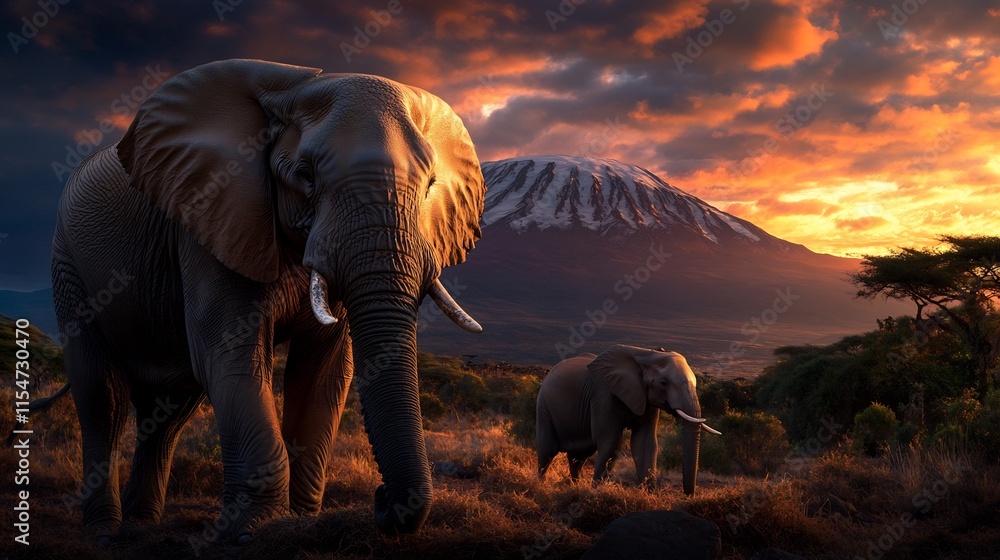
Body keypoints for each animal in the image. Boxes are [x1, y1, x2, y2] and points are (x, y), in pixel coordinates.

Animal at [49, 59, 485, 542]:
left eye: (430, 185)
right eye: (305, 176)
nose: (380, 498)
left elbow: (325, 370)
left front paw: (300, 523)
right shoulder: (210, 214)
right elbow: (231, 353)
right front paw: (251, 530)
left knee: (169, 408)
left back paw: (143, 523)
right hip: (68, 266)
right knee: (101, 394)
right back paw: (104, 531)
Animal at [535, 345, 720, 494]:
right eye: (663, 383)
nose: (689, 494)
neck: (646, 354)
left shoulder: (646, 400)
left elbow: (645, 443)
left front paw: (649, 495)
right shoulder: (603, 397)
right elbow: (611, 443)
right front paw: (597, 492)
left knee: (579, 455)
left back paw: (575, 486)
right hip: (544, 406)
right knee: (547, 450)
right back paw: (540, 485)